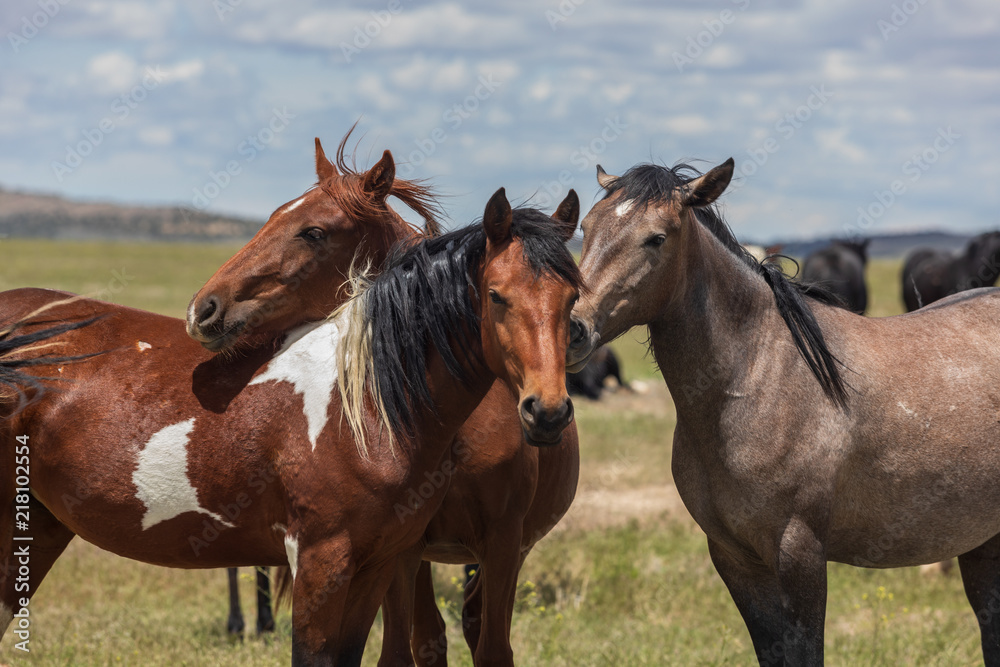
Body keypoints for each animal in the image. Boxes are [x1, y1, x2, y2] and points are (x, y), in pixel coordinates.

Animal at [0, 172, 580, 664]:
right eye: (496, 296)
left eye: (573, 299)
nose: (547, 410)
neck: (365, 405)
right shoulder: (321, 560)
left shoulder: (384, 563)